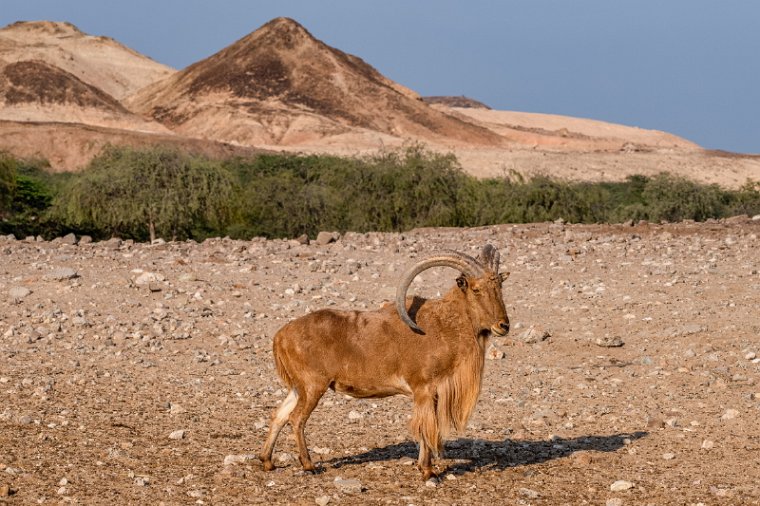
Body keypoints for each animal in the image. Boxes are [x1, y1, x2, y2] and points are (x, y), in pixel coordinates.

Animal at [260, 244, 510, 478]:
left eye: (499, 287)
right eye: (476, 289)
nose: (503, 325)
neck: (443, 325)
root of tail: (280, 336)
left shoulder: (432, 394)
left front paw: (424, 467)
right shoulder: (424, 389)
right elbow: (425, 427)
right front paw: (428, 471)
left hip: (298, 387)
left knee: (279, 415)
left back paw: (267, 461)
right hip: (313, 386)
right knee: (296, 419)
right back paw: (308, 464)